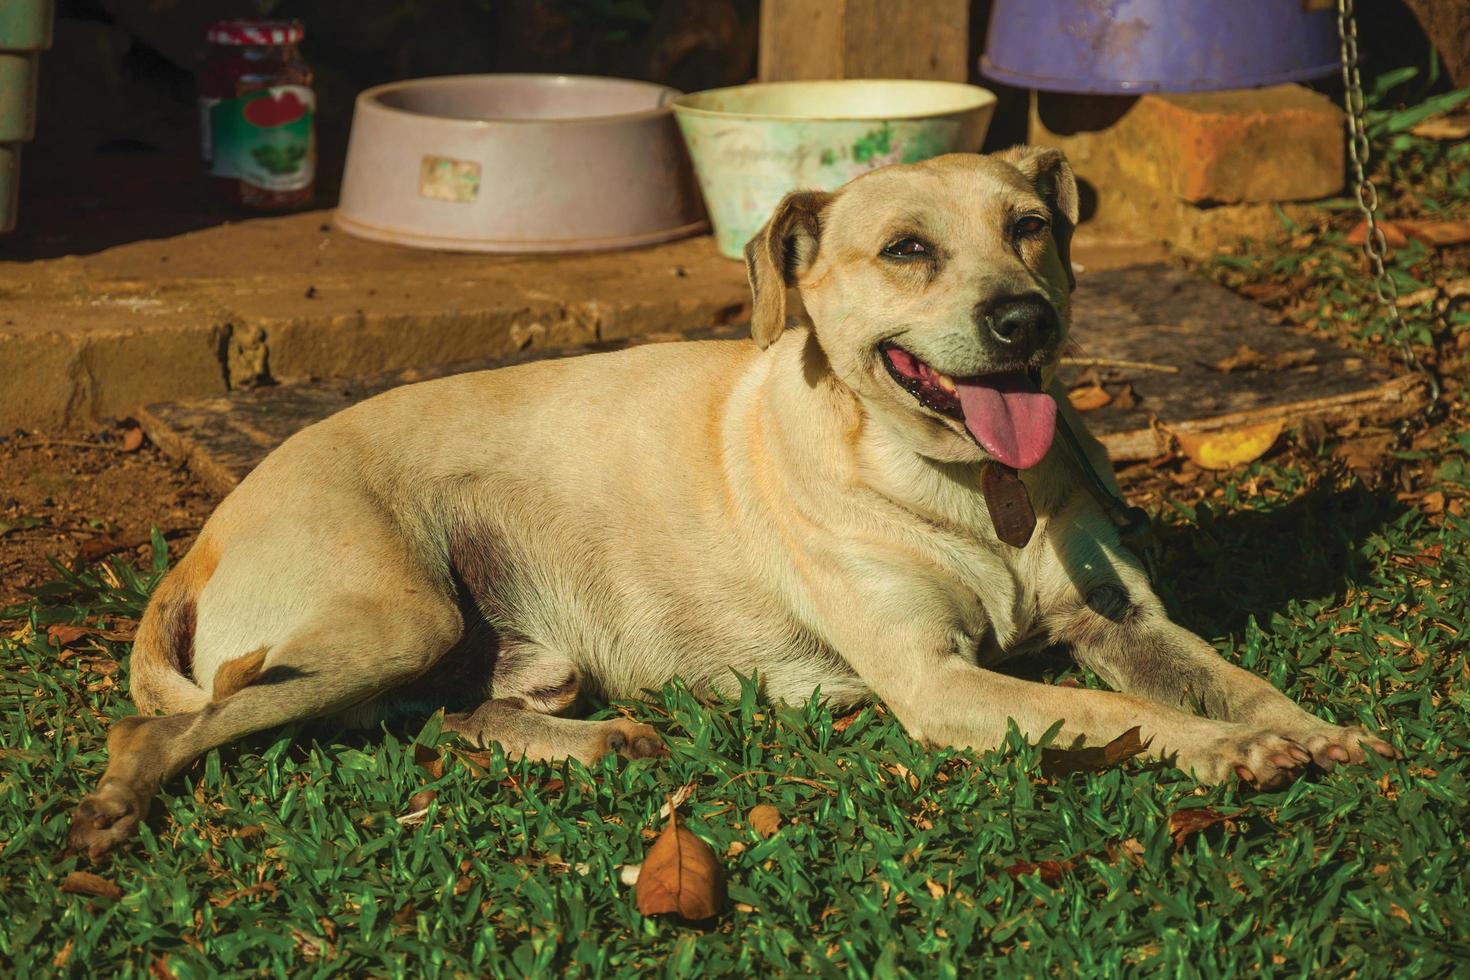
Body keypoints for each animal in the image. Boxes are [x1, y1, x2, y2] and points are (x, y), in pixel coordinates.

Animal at [71, 147, 1387, 858]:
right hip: (399, 618)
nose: (1025, 319)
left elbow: (1229, 676)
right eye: (907, 250)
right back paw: (114, 806)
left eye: (1031, 228)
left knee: (438, 721)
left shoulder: (1125, 623)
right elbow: (1138, 717)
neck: (964, 490)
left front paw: (1319, 731)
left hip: (503, 655)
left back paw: (601, 738)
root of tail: (205, 538)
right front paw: (1232, 753)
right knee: (171, 724)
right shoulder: (942, 683)